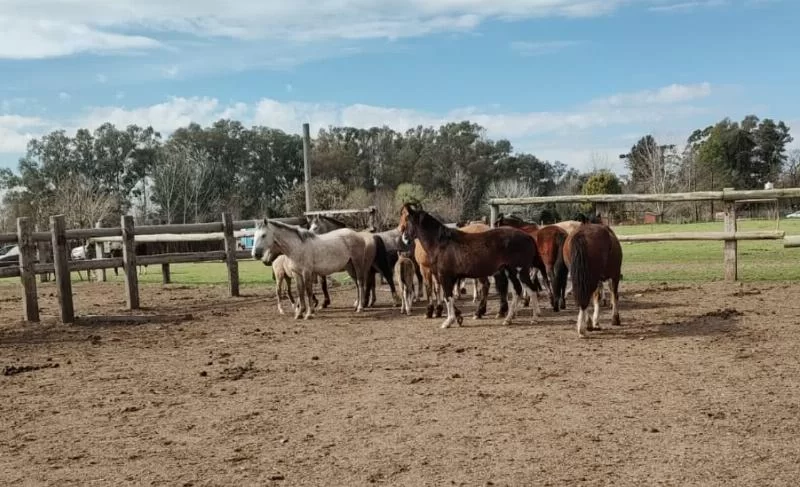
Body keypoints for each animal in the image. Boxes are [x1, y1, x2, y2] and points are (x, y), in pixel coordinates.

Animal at [398, 204, 544, 330]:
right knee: (517, 291)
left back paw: (534, 318)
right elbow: (449, 296)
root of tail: (528, 236)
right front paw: (458, 317)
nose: (404, 238)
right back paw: (508, 319)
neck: (441, 243)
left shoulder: (444, 276)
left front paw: (448, 321)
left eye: (407, 218)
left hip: (520, 271)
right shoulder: (447, 277)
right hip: (511, 271)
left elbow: (447, 296)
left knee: (531, 290)